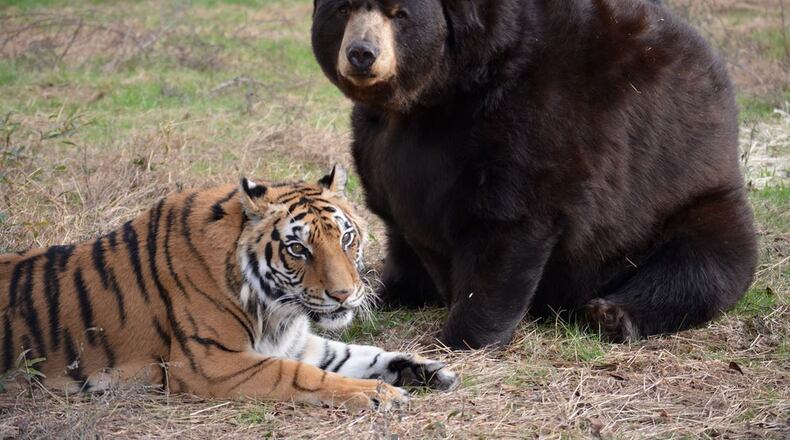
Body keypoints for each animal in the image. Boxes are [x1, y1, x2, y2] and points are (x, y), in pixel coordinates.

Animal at [311, 0, 758, 349]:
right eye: (343, 8)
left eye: (399, 14)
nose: (362, 53)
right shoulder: (379, 144)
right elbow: (401, 222)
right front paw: (384, 293)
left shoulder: (531, 114)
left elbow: (510, 222)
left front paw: (462, 336)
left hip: (687, 200)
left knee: (701, 265)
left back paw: (610, 315)